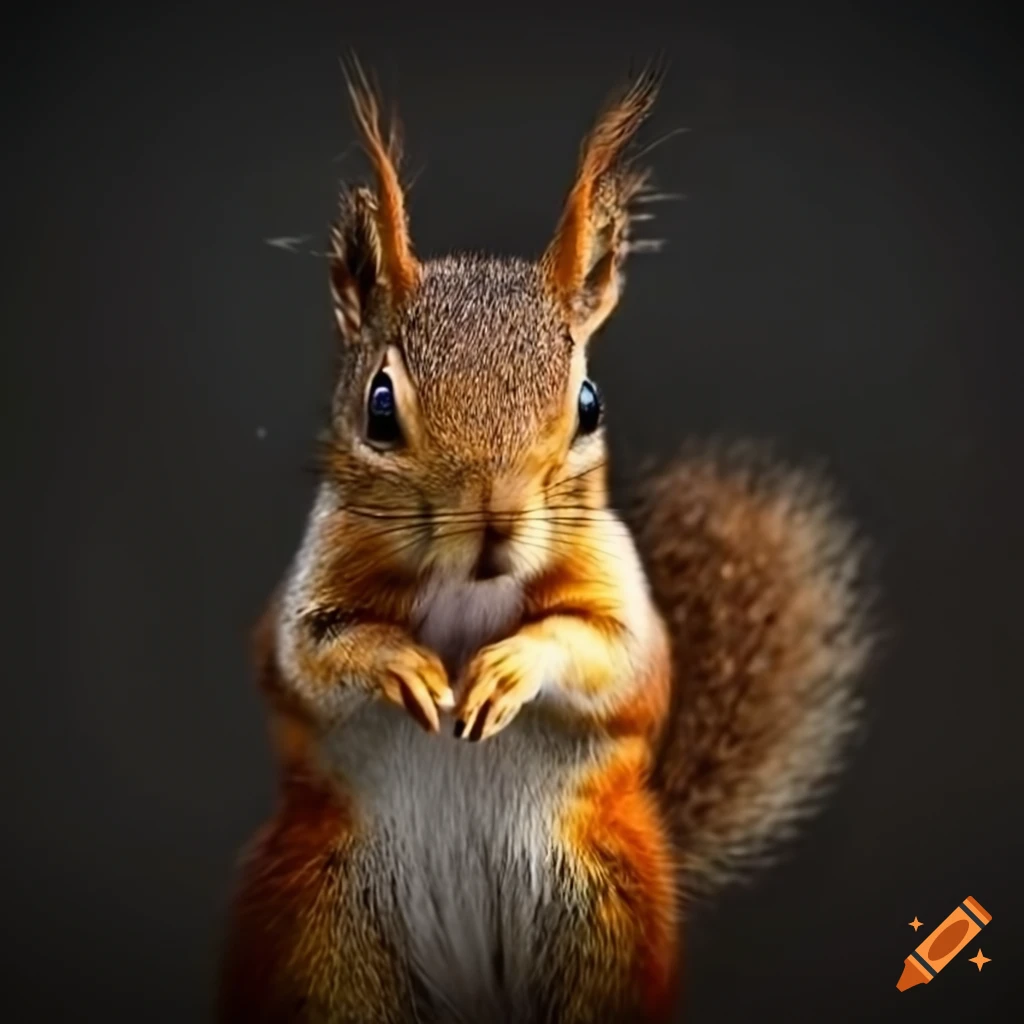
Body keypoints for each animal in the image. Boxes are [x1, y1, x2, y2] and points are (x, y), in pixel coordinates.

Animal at [217, 63, 873, 1024]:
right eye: (380, 406)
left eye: (589, 404)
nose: (496, 523)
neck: (467, 593)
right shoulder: (306, 596)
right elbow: (312, 653)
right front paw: (402, 664)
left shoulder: (623, 604)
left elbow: (615, 654)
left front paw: (509, 668)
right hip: (330, 941)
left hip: (600, 926)